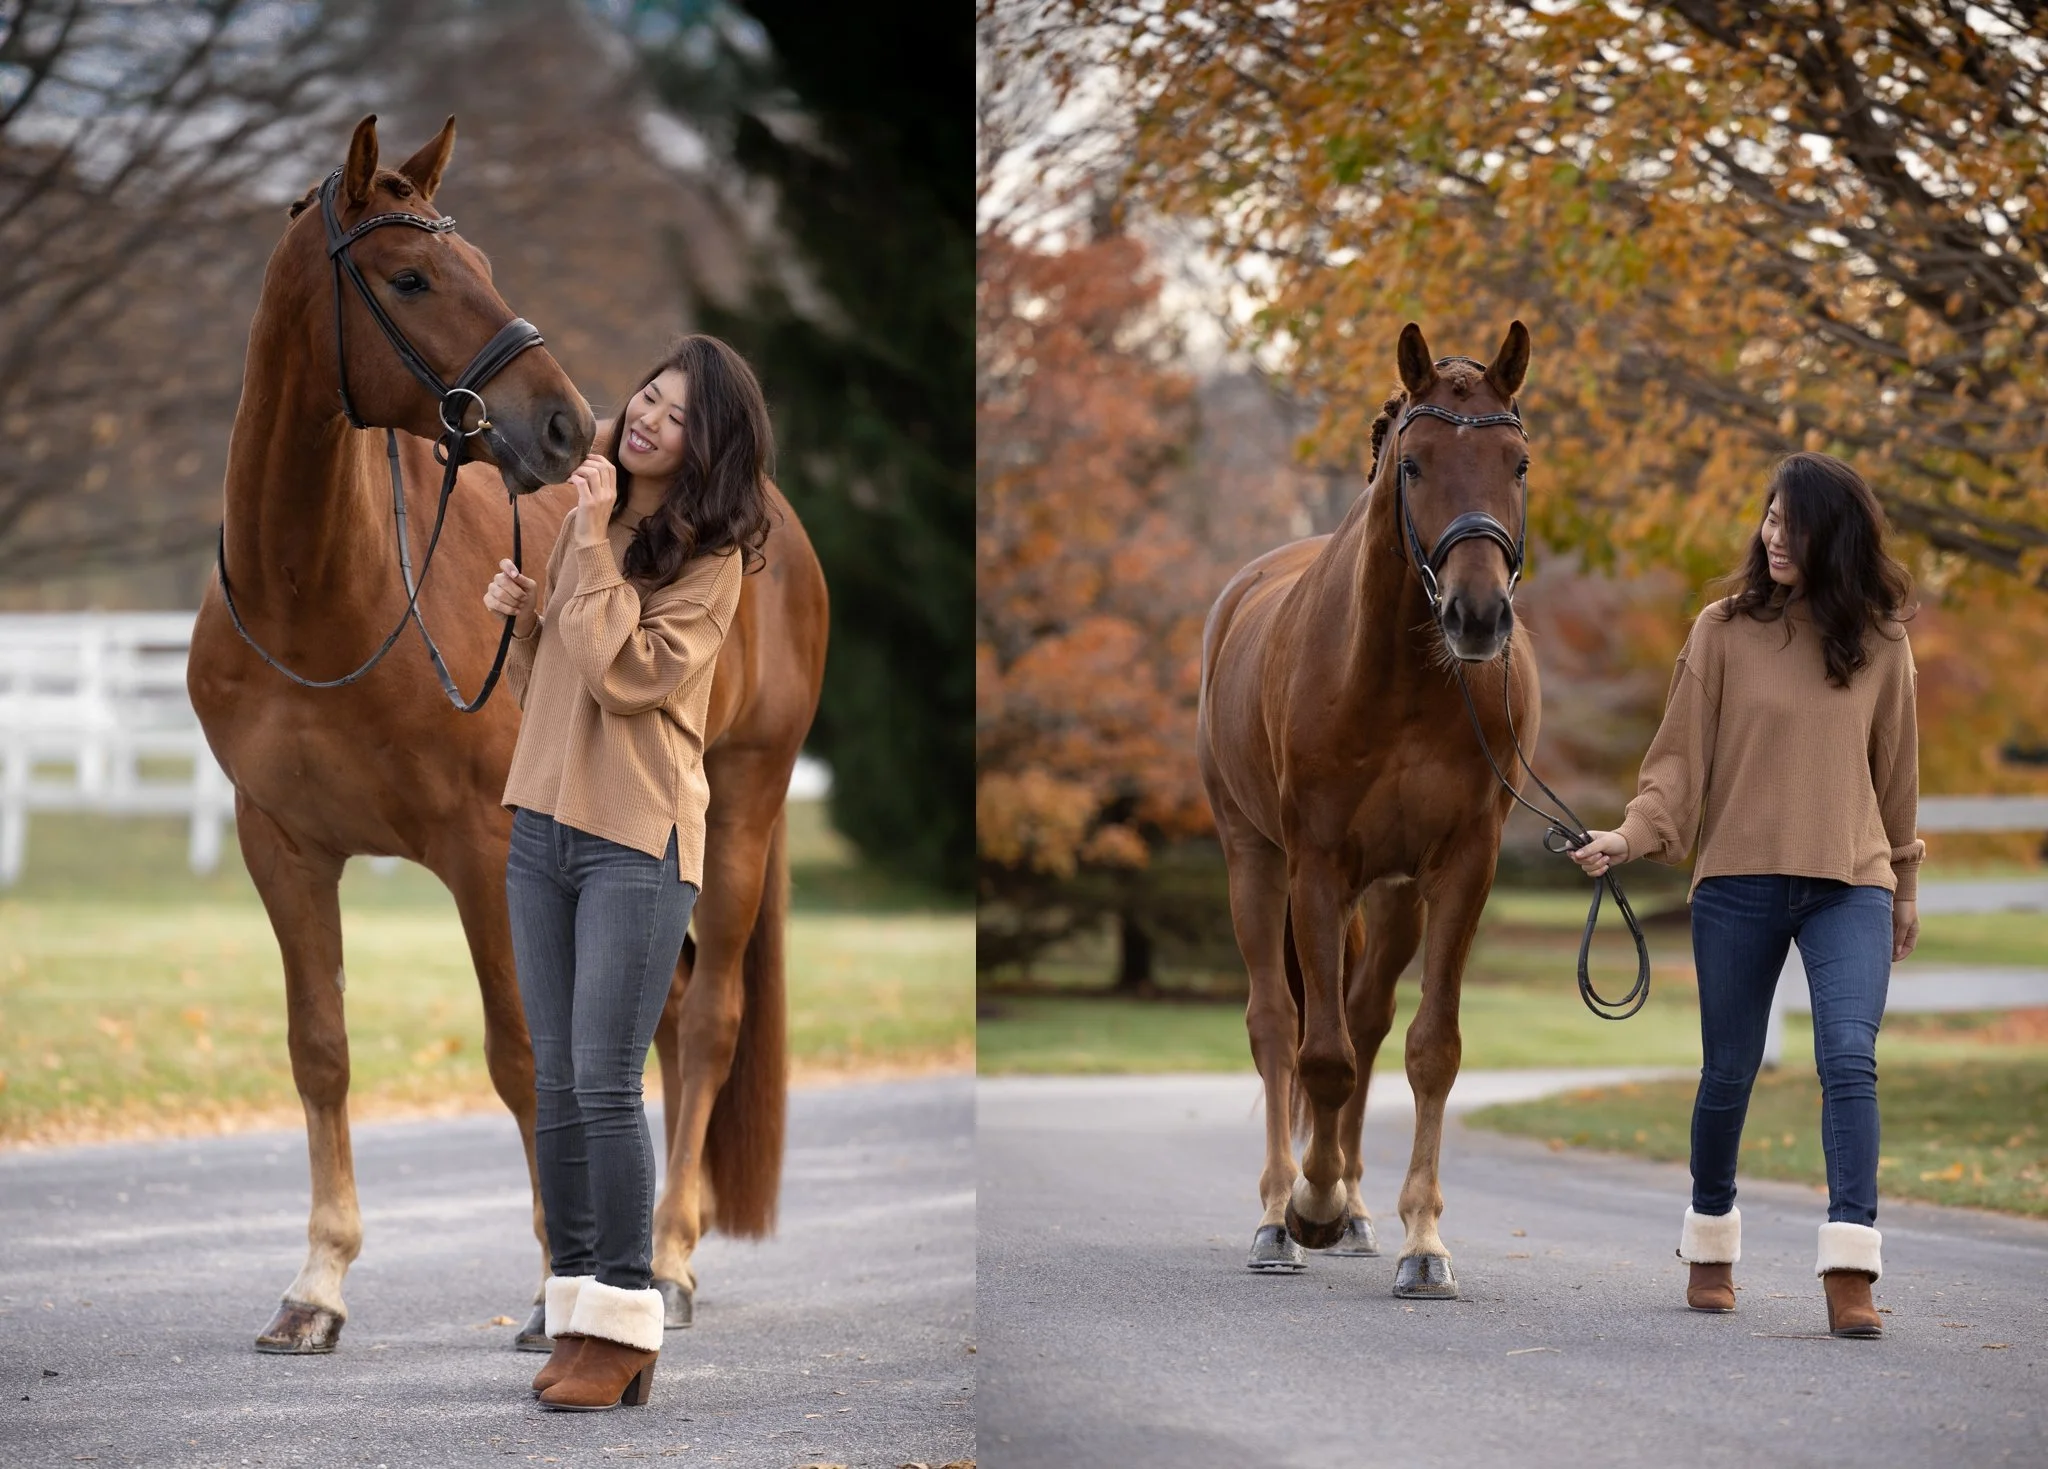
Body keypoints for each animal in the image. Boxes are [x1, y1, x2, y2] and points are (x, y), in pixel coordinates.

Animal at [188, 115, 827, 1353]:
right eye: (410, 275)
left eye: (479, 259)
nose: (567, 424)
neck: (319, 597)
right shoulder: (281, 846)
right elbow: (320, 1049)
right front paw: (316, 1285)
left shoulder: (485, 852)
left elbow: (525, 1054)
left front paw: (554, 1288)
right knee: (665, 1009)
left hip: (739, 804)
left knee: (709, 1017)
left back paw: (668, 1257)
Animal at [1196, 320, 1537, 1298]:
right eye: (1415, 464)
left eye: (1518, 463)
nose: (1476, 615)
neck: (1406, 680)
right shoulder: (1315, 863)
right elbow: (1320, 1052)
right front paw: (1307, 1205)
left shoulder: (1461, 866)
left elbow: (1429, 1046)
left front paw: (1424, 1241)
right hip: (1256, 861)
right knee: (1279, 1023)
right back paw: (1281, 1214)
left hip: (1388, 895)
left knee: (1368, 1015)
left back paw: (1350, 1205)